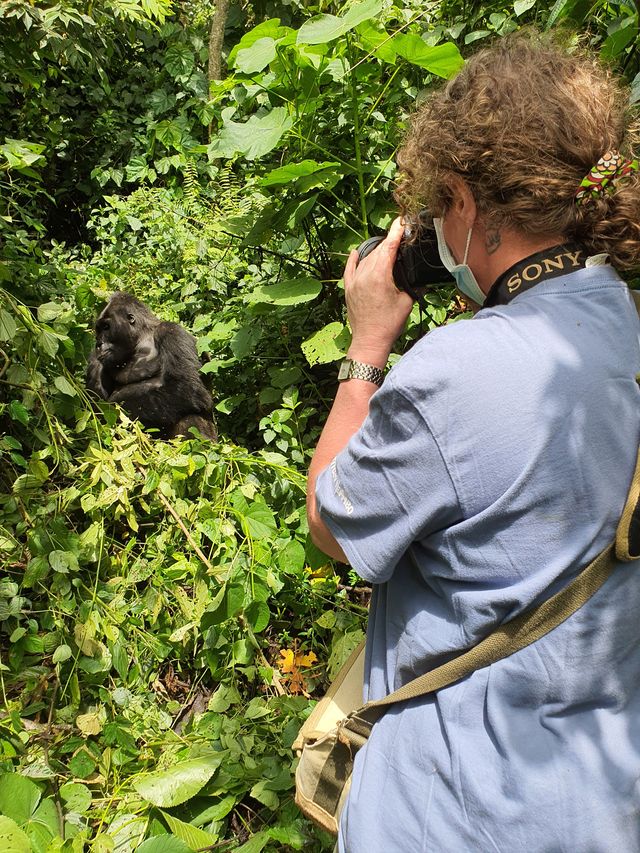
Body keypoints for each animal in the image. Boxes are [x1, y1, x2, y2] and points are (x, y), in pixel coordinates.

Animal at [85, 292, 218, 440]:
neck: (141, 338)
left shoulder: (172, 332)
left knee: (190, 416)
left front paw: (114, 406)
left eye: (106, 327)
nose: (98, 344)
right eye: (98, 330)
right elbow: (94, 406)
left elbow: (187, 388)